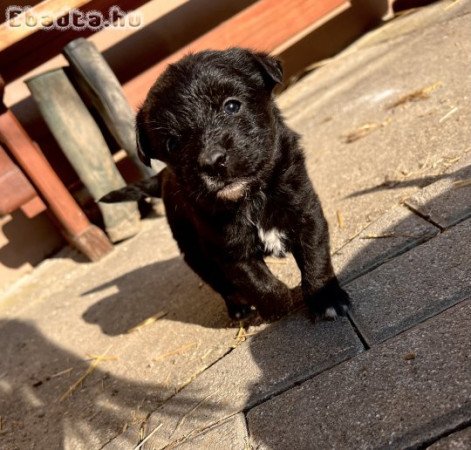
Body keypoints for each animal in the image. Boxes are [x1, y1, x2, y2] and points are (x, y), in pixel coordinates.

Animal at [101, 48, 350, 320]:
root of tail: (163, 175)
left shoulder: (305, 213)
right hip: (192, 249)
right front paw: (279, 305)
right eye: (172, 143)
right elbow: (256, 282)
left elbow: (314, 258)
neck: (250, 197)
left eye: (232, 105)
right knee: (219, 282)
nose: (212, 162)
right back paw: (238, 306)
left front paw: (327, 298)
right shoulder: (226, 249)